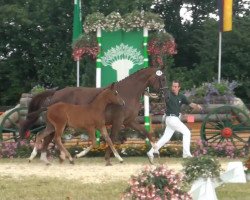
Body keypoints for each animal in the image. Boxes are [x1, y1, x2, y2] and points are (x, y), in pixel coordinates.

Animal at [20, 66, 166, 165]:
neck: (128, 93)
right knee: (50, 138)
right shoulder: (118, 121)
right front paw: (109, 159)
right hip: (60, 124)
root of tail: (55, 93)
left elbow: (147, 133)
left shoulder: (130, 121)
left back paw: (51, 158)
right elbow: (112, 138)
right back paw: (55, 158)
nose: (163, 93)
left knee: (47, 137)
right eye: (161, 78)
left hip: (57, 124)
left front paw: (153, 154)